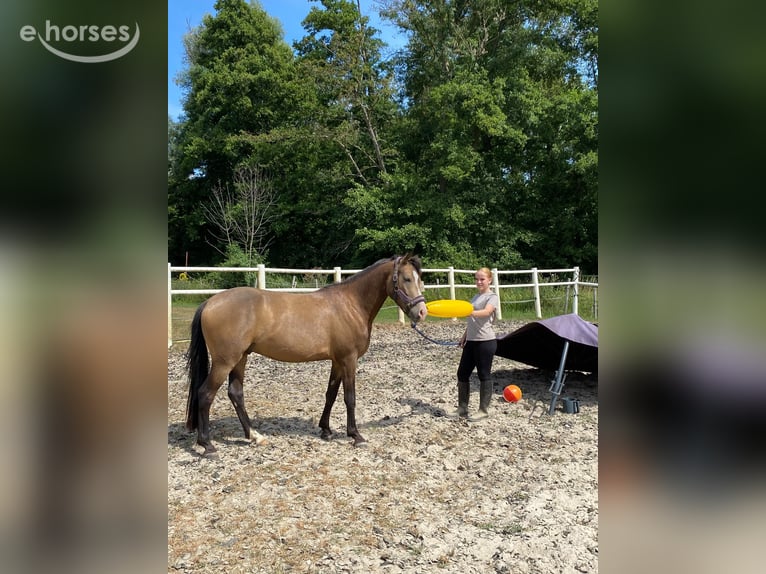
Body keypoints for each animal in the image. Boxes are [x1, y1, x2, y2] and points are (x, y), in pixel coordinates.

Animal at [185, 254, 428, 455]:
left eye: (420, 280)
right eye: (407, 279)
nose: (422, 312)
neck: (350, 305)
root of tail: (209, 302)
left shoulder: (337, 362)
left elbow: (331, 394)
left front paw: (326, 430)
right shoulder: (349, 360)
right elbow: (349, 398)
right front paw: (356, 435)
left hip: (240, 358)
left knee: (235, 393)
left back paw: (254, 436)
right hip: (225, 361)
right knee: (205, 394)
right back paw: (207, 445)